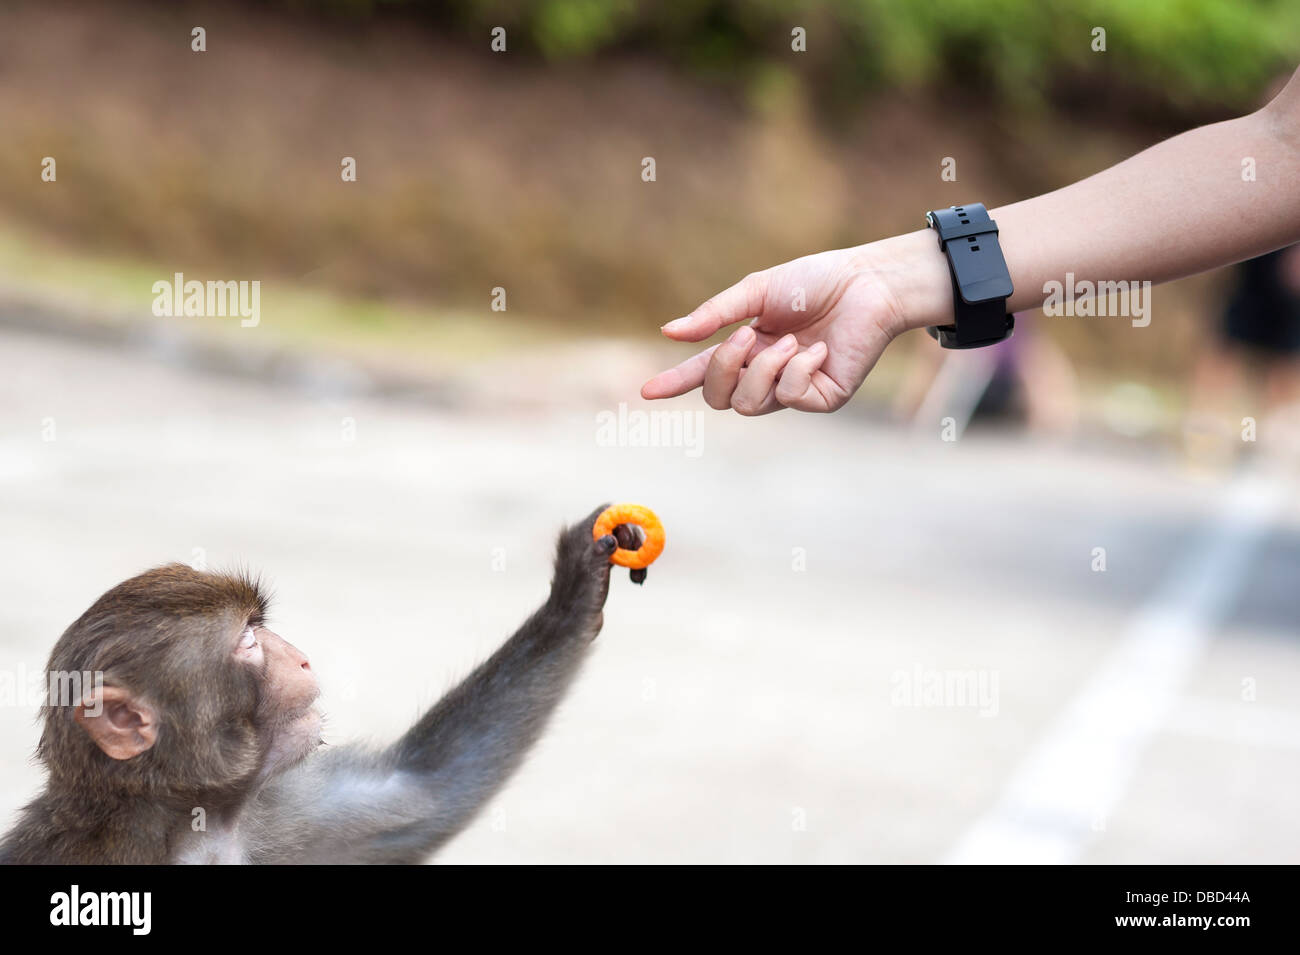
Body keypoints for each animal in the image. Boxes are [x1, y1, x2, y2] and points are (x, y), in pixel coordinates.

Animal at [0, 509, 644, 867]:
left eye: (259, 626)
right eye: (248, 641)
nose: (302, 658)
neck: (187, 824)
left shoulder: (266, 815)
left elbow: (425, 791)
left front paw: (575, 594)